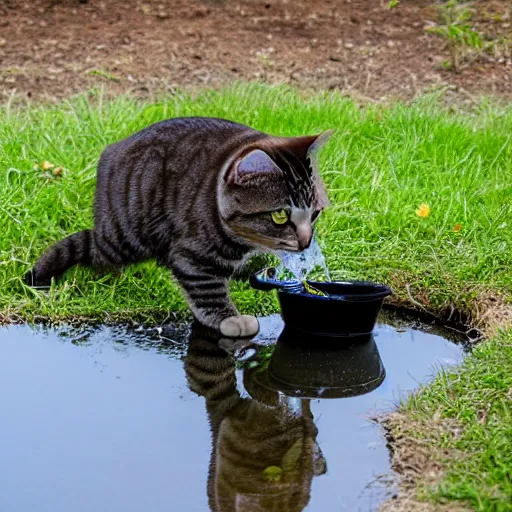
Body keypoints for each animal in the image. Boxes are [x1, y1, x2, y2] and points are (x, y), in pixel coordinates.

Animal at [27, 118, 332, 338]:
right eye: (280, 215)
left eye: (315, 213)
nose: (306, 241)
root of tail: (111, 150)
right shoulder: (191, 254)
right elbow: (207, 290)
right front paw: (229, 319)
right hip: (125, 236)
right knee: (90, 245)